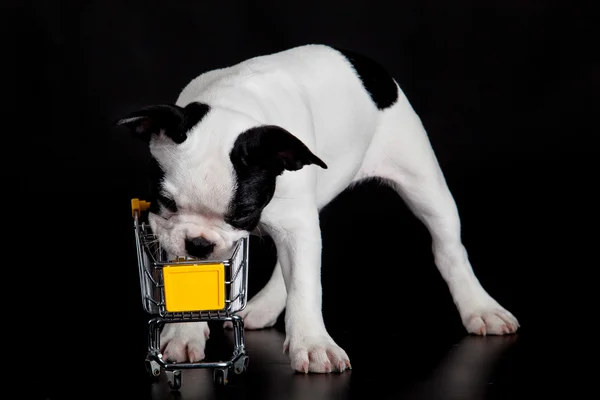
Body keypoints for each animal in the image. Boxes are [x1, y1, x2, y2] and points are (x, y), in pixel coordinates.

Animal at [116, 44, 516, 376]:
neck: (231, 107)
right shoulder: (173, 231)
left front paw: (312, 345)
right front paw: (185, 333)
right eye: (166, 202)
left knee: (449, 249)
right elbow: (183, 283)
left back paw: (479, 308)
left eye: (242, 214)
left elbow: (306, 286)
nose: (200, 244)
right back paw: (262, 308)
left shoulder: (295, 223)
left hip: (425, 185)